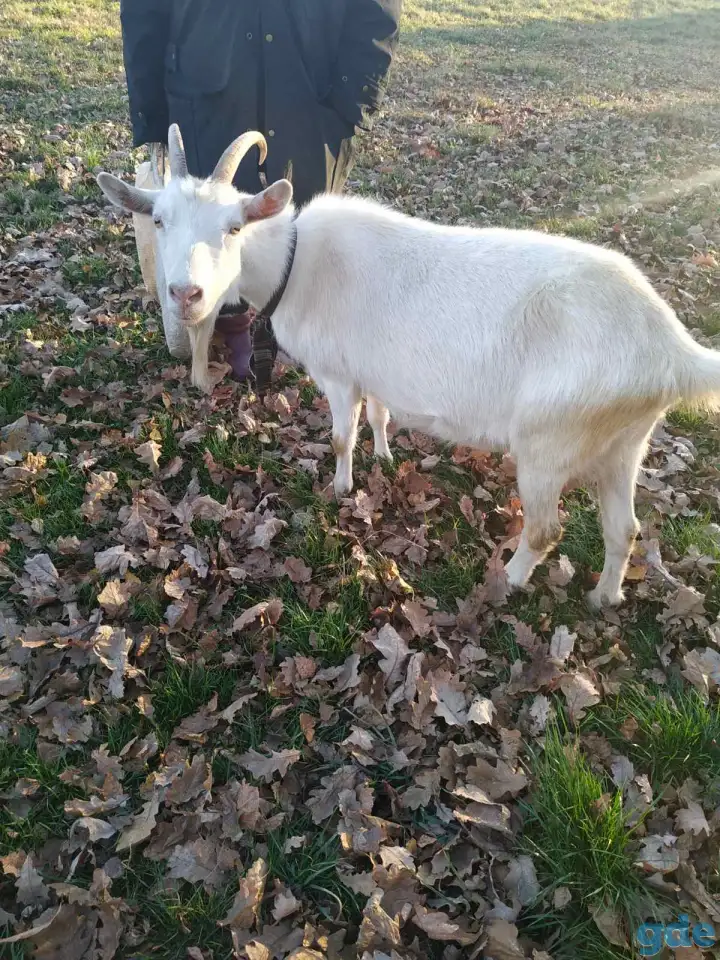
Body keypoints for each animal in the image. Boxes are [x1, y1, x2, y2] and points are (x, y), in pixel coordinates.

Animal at [97, 125, 720, 608]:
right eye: (159, 221)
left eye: (233, 227)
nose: (186, 294)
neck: (296, 263)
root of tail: (669, 346)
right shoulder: (374, 372)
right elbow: (379, 416)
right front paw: (384, 457)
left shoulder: (338, 374)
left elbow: (341, 435)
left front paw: (342, 488)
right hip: (624, 442)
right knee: (625, 528)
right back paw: (604, 596)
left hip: (552, 440)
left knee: (546, 528)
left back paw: (509, 580)